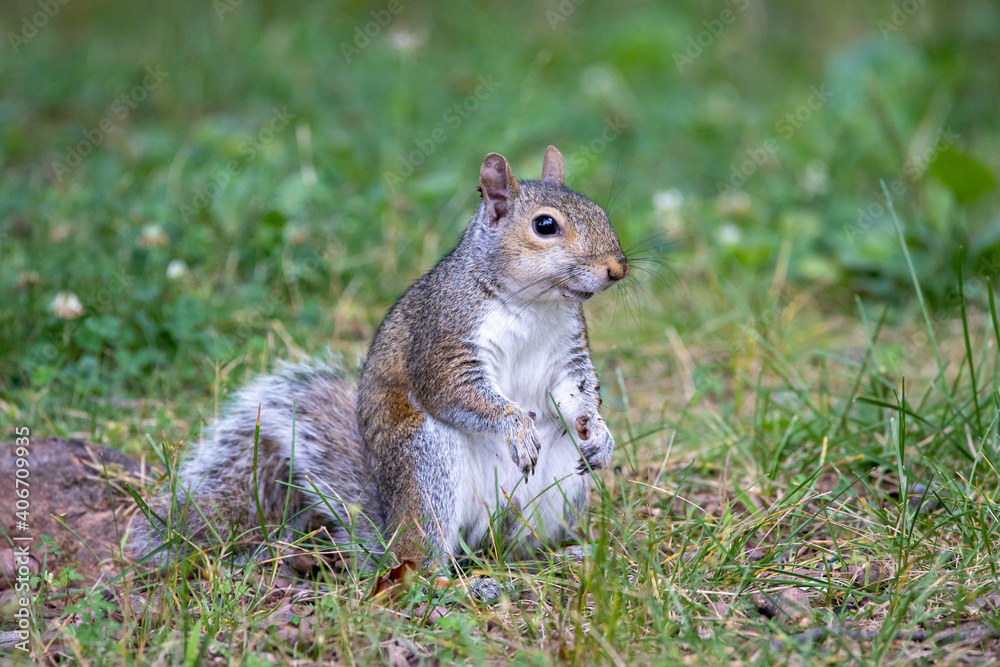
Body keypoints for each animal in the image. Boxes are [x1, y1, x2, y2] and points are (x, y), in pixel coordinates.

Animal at [129, 146, 629, 569]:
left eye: (602, 212)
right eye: (545, 226)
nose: (617, 268)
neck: (534, 305)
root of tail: (386, 528)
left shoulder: (567, 351)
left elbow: (575, 392)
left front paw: (600, 433)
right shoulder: (444, 336)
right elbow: (454, 391)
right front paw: (516, 427)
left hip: (559, 484)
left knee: (514, 547)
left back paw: (562, 556)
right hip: (428, 465)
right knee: (419, 558)